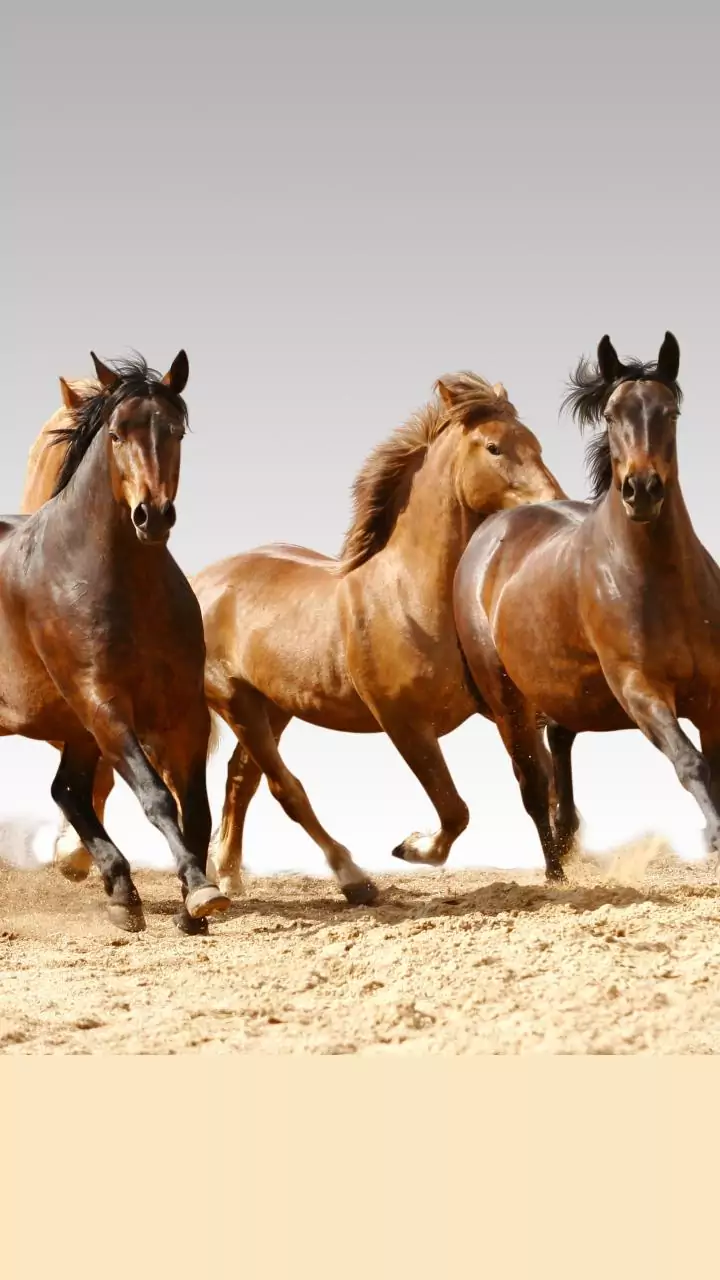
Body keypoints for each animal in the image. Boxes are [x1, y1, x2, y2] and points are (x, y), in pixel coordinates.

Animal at [1, 351, 230, 933]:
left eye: (175, 431)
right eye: (115, 433)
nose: (153, 515)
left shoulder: (183, 711)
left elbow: (195, 807)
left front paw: (193, 904)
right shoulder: (102, 703)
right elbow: (157, 797)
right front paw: (199, 891)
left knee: (67, 791)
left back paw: (122, 890)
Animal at [454, 332, 720, 881]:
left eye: (670, 413)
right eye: (612, 415)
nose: (642, 490)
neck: (660, 582)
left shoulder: (715, 696)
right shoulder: (640, 689)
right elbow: (690, 762)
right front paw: (714, 836)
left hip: (562, 691)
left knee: (560, 752)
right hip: (508, 700)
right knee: (533, 785)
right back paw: (556, 875)